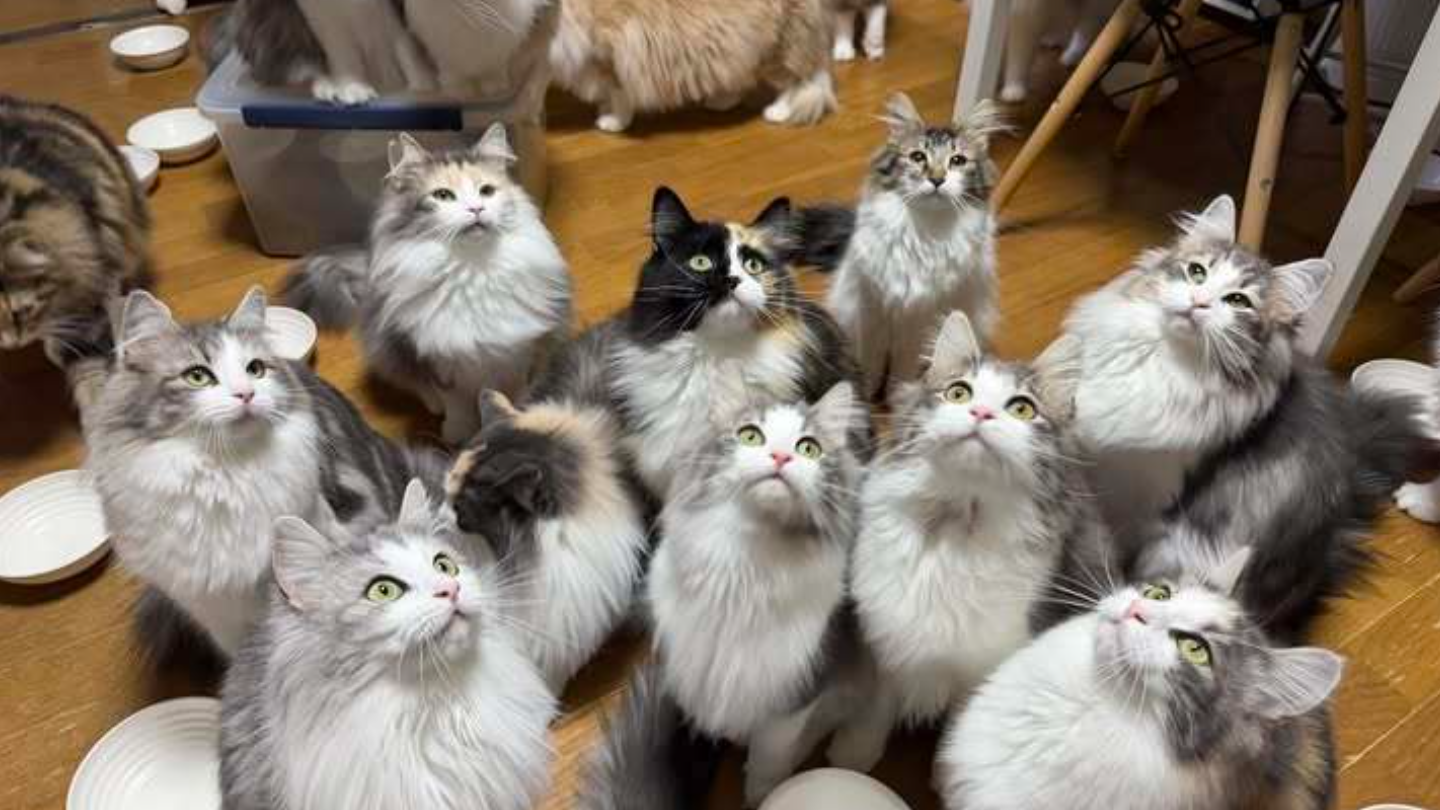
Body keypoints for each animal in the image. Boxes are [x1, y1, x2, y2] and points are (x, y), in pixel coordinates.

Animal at [284, 124, 571, 445]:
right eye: (443, 195)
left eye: (486, 191)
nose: (476, 208)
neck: (472, 269)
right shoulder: (437, 360)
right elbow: (456, 404)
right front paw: (458, 434)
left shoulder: (520, 355)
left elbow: (517, 393)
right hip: (389, 349)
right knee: (418, 386)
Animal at [549, 0, 836, 132]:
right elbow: (608, 94)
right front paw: (605, 110)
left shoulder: (611, 56)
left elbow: (620, 97)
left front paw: (614, 122)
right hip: (730, 45)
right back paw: (720, 101)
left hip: (773, 48)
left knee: (798, 81)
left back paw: (778, 112)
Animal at [646, 383, 863, 807]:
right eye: (750, 436)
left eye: (809, 447)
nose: (780, 456)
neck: (743, 567)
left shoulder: (791, 700)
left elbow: (767, 764)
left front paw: (759, 797)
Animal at [806, 93, 1005, 402]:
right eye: (918, 157)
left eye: (957, 161)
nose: (937, 179)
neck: (922, 232)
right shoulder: (871, 310)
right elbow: (870, 362)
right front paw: (866, 394)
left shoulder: (919, 321)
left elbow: (902, 367)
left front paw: (895, 396)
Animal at [828, 311, 1113, 772]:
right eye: (958, 392)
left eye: (1022, 408)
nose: (980, 413)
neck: (953, 525)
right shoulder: (888, 642)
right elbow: (875, 709)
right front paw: (852, 757)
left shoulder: (984, 666)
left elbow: (957, 731)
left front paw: (947, 775)